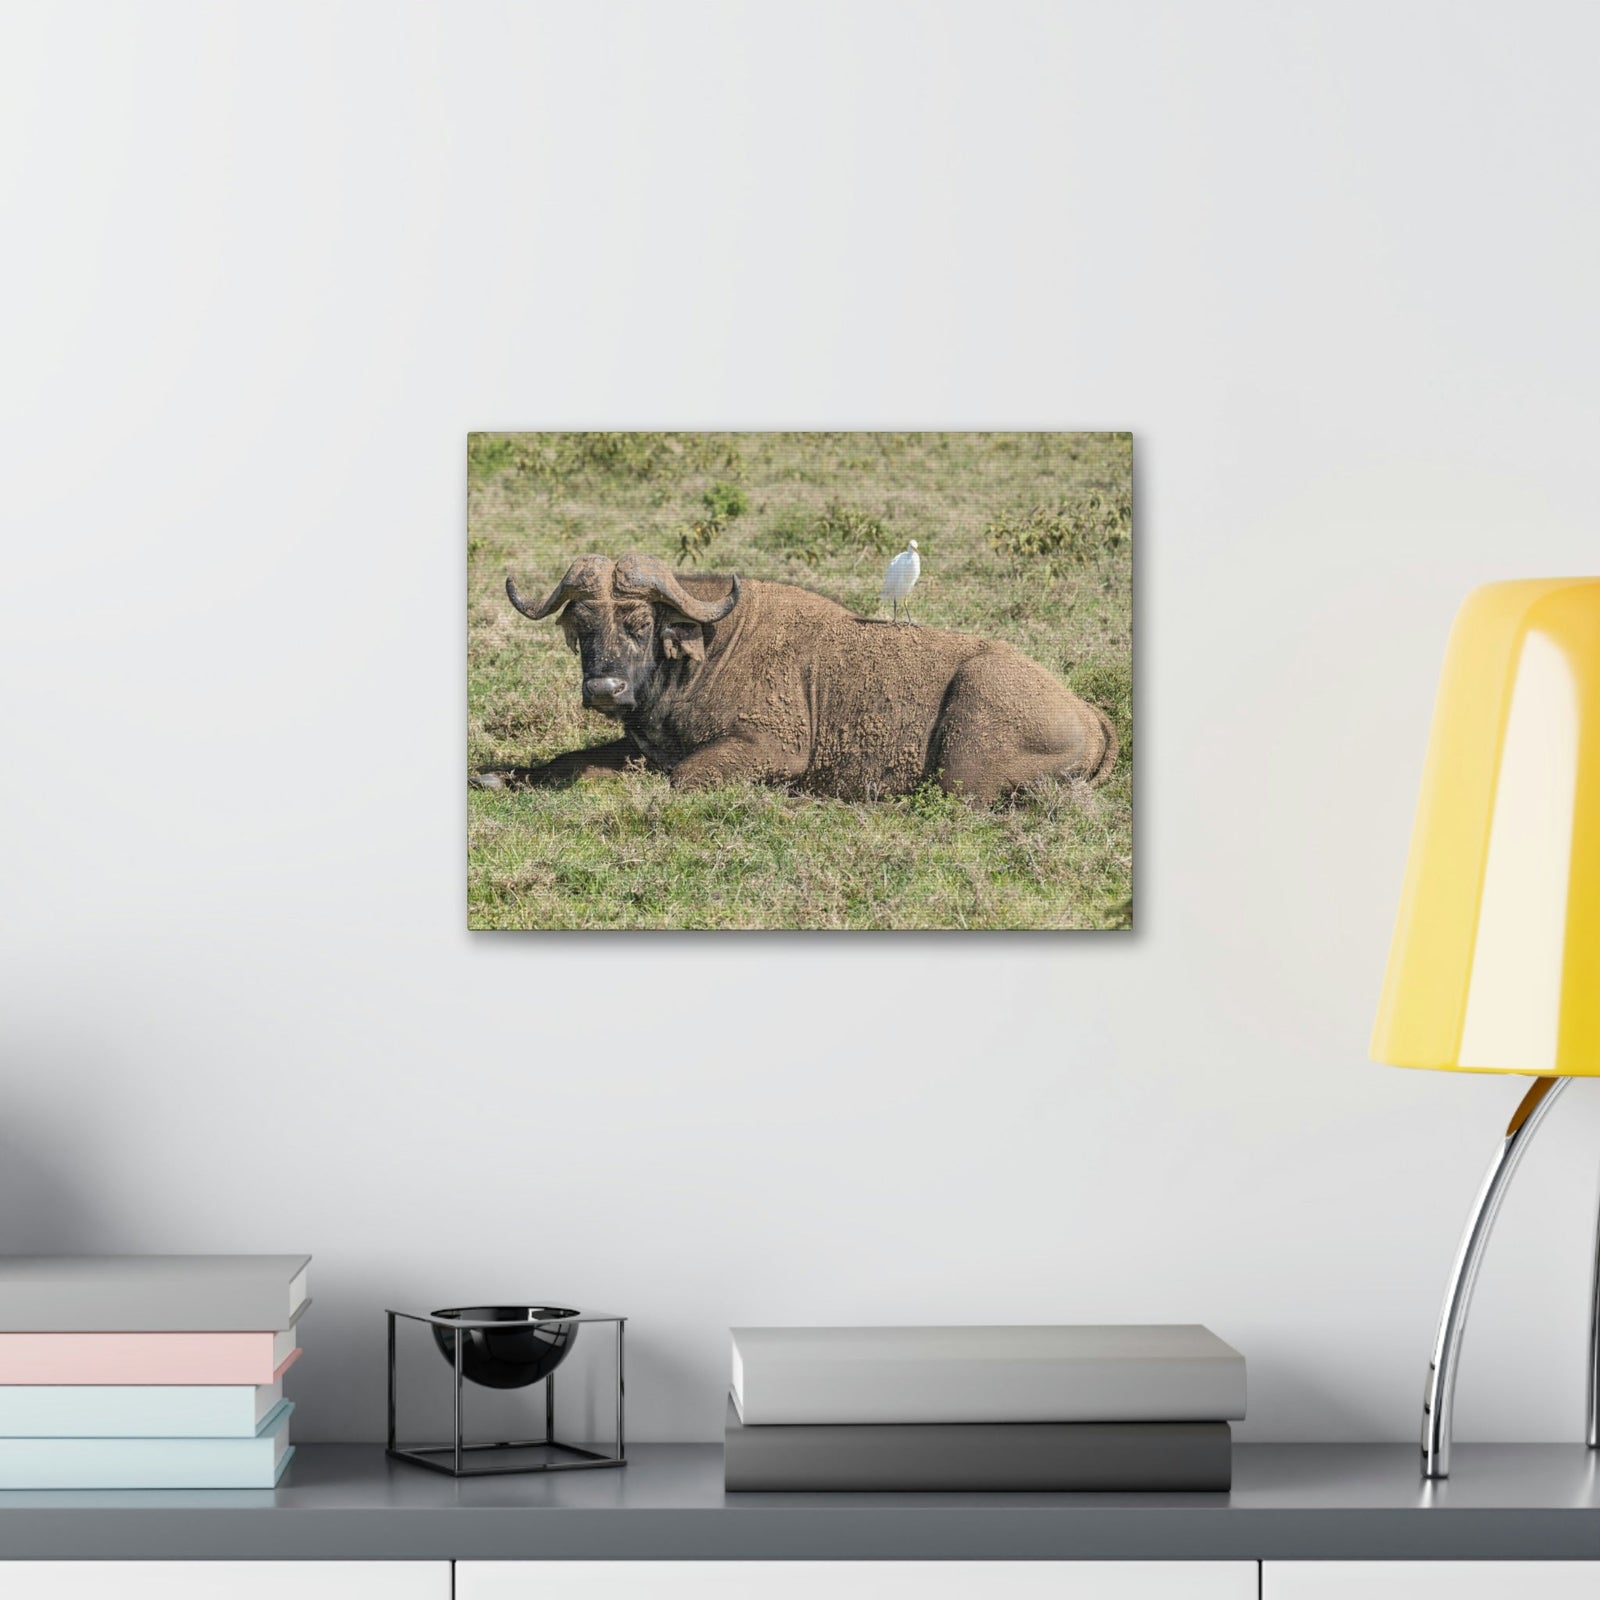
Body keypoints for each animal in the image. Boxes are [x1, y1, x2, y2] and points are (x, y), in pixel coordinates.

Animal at [472, 552, 1117, 805]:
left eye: (638, 622)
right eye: (582, 624)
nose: (604, 690)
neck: (706, 653)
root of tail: (1089, 713)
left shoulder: (769, 751)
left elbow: (681, 778)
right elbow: (566, 761)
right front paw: (498, 776)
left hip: (966, 748)